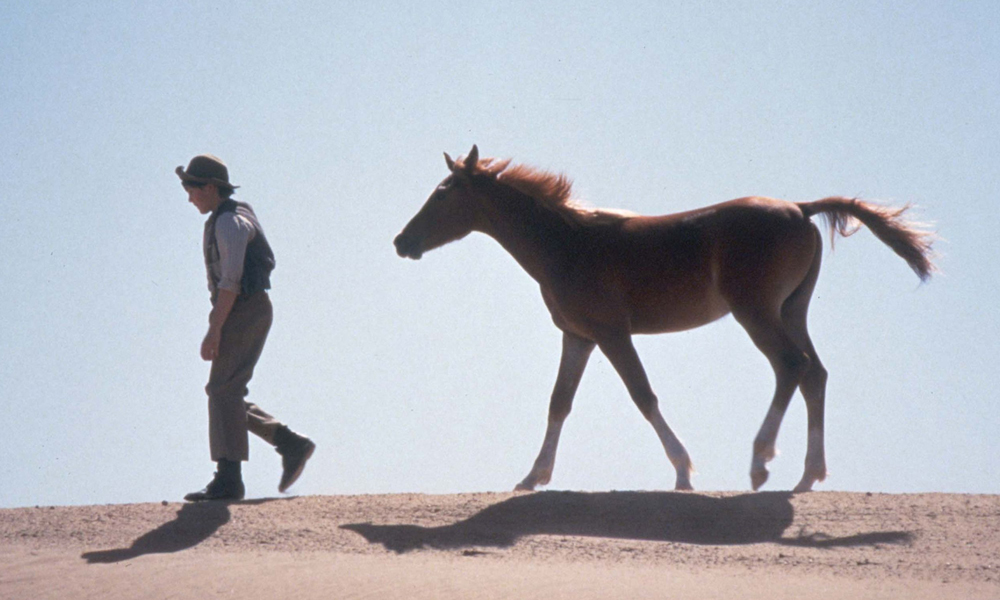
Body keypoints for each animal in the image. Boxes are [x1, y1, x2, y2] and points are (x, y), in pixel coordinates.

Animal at [392, 145, 936, 492]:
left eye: (442, 193)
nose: (402, 241)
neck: (566, 243)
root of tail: (801, 209)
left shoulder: (612, 334)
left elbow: (643, 395)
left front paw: (683, 473)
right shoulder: (578, 337)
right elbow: (559, 403)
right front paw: (532, 477)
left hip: (757, 312)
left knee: (791, 367)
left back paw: (761, 463)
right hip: (792, 309)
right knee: (815, 373)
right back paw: (807, 475)